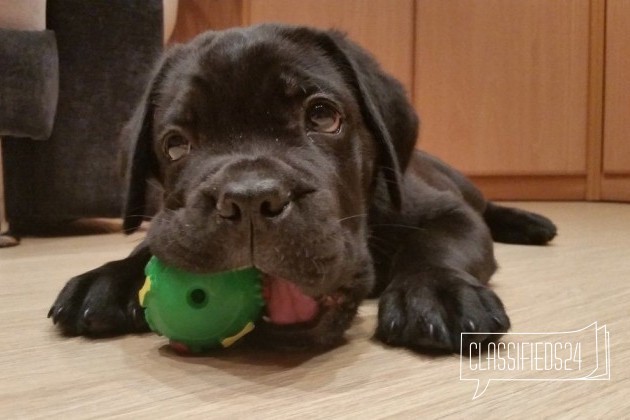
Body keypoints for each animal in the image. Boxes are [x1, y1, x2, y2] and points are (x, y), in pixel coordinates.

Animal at [51, 24, 560, 352]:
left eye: (322, 116)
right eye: (175, 144)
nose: (249, 198)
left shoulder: (448, 213)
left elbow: (437, 245)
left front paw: (436, 290)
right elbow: (153, 240)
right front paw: (110, 277)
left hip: (460, 186)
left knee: (489, 205)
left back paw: (532, 222)